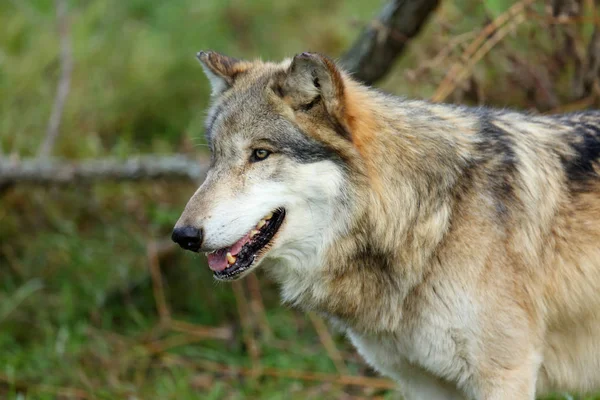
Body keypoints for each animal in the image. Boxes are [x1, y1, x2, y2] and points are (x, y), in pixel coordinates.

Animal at [170, 51, 600, 398]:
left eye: (260, 154)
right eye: (215, 157)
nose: (182, 236)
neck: (432, 221)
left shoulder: (505, 376)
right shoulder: (424, 383)